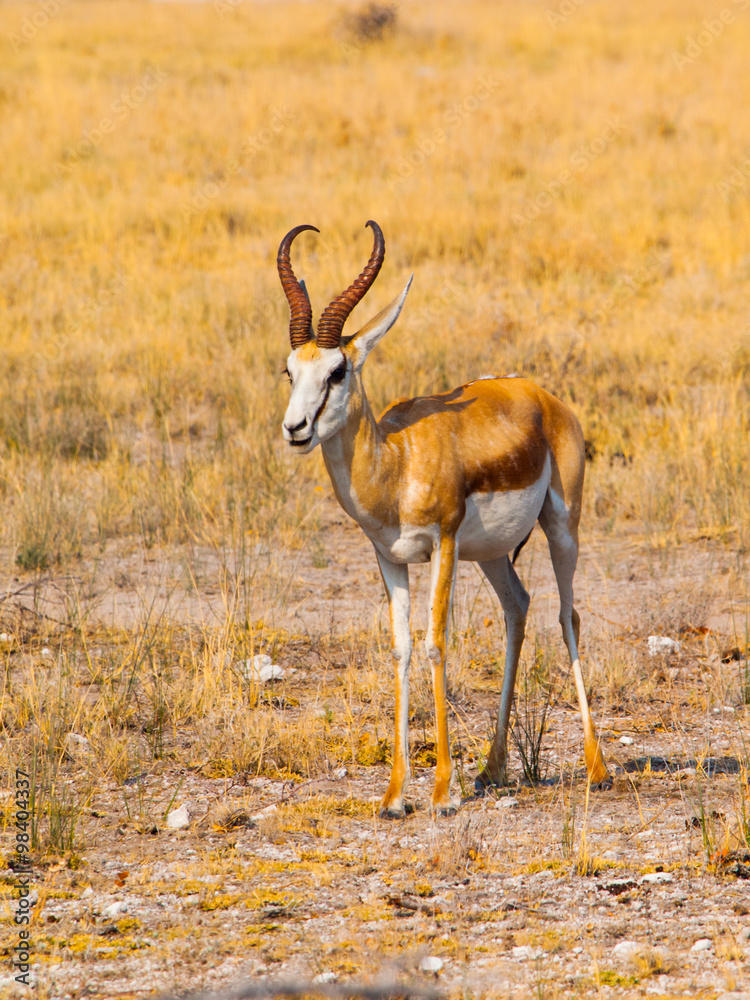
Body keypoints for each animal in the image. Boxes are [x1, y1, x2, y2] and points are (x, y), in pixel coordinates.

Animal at [278, 221, 611, 816]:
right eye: (288, 370)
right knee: (518, 607)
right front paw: (393, 794)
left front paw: (440, 791)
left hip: (562, 529)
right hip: (494, 554)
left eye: (338, 371)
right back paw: (494, 767)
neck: (397, 464)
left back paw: (597, 768)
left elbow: (435, 642)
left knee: (568, 616)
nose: (296, 428)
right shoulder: (389, 558)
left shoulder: (445, 544)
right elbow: (402, 648)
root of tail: (539, 394)